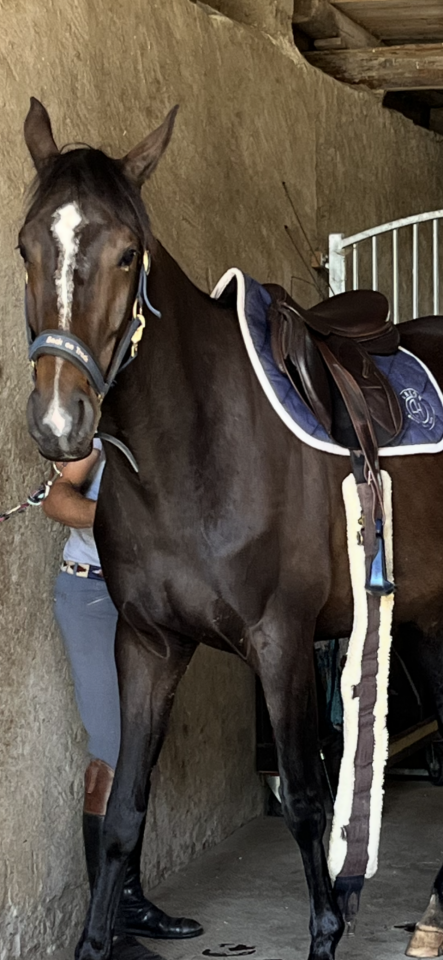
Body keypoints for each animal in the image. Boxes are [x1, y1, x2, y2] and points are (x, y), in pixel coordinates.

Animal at [19, 97, 443, 960]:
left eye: (127, 254)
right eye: (24, 247)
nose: (59, 420)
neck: (195, 448)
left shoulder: (279, 639)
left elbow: (310, 799)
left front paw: (327, 930)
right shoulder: (147, 642)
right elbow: (124, 810)